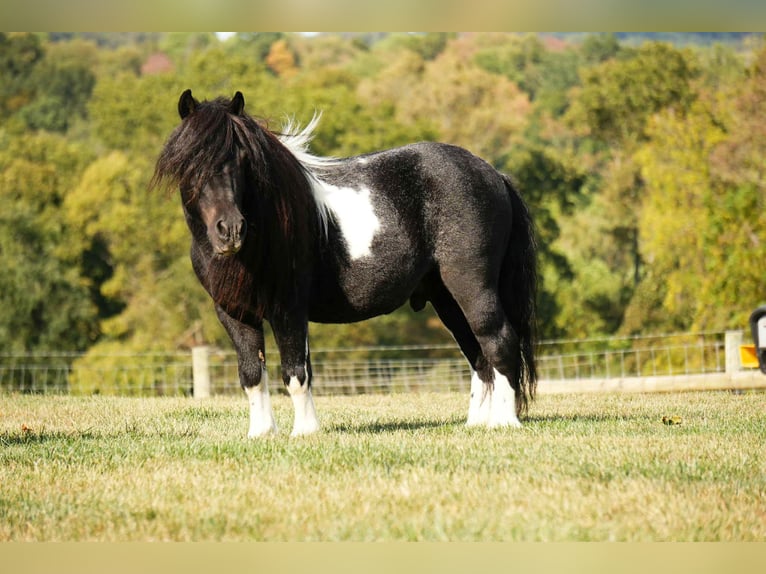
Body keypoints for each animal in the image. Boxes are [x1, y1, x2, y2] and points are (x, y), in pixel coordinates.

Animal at [153, 90, 538, 437]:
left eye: (242, 158)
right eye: (189, 162)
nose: (230, 230)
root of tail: (493, 174)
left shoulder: (288, 309)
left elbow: (295, 371)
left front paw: (305, 432)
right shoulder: (234, 313)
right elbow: (251, 374)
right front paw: (261, 433)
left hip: (473, 287)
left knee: (499, 341)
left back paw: (504, 422)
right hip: (446, 298)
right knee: (478, 355)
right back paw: (476, 424)